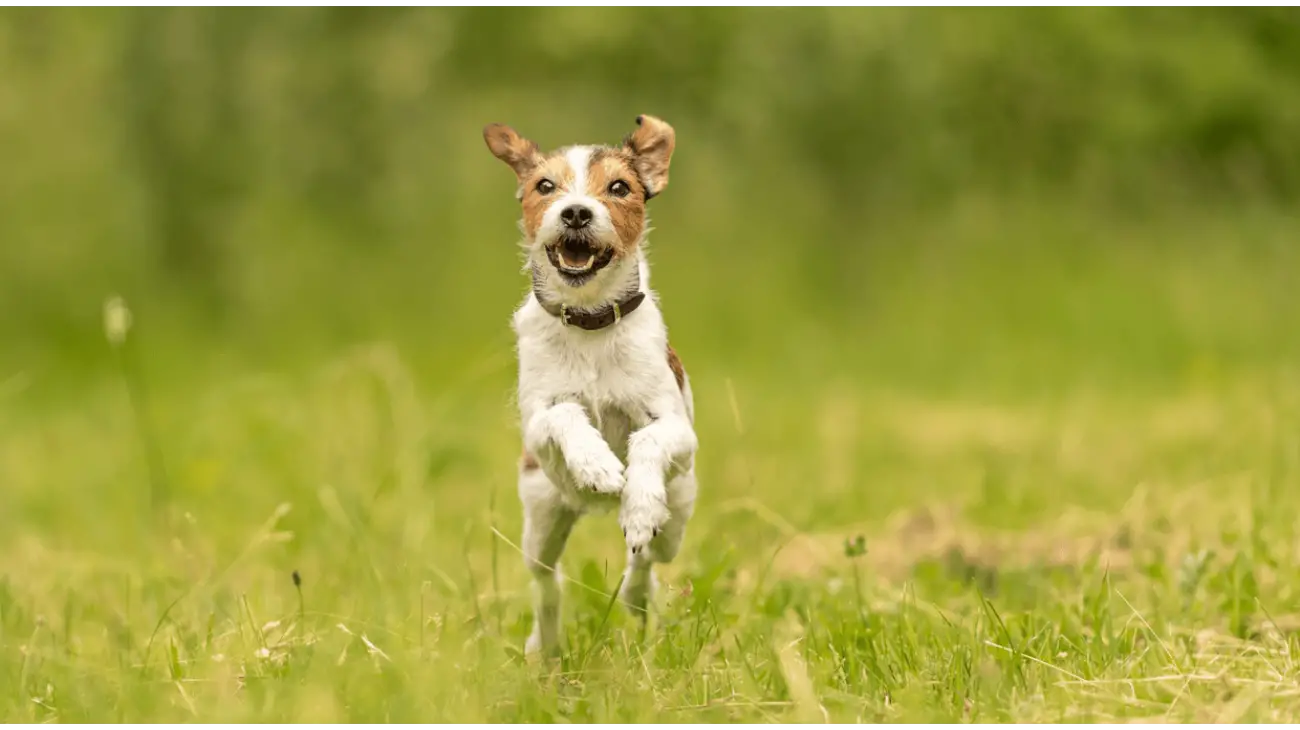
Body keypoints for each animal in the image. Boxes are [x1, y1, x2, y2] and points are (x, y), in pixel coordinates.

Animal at [483, 113, 696, 654]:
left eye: (619, 188)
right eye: (545, 186)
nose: (576, 212)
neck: (589, 321)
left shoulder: (679, 431)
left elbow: (648, 440)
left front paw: (636, 502)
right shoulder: (536, 423)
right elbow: (564, 412)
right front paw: (597, 465)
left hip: (678, 516)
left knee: (646, 559)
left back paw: (637, 588)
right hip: (540, 517)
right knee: (546, 582)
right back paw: (544, 646)